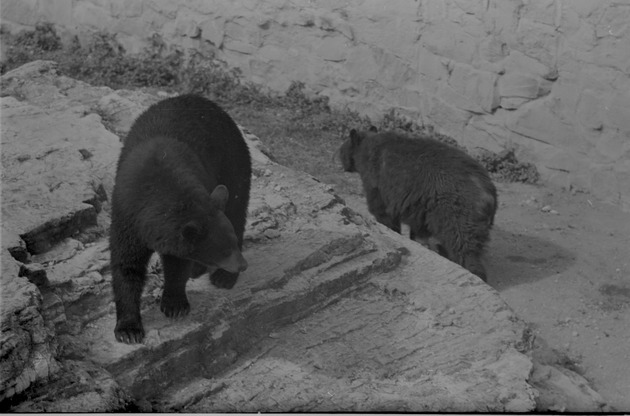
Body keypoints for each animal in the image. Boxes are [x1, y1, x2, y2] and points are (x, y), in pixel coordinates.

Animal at [111, 95, 252, 344]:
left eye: (232, 245)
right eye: (224, 250)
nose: (242, 265)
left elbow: (177, 263)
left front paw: (174, 305)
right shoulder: (125, 216)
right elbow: (126, 264)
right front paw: (129, 330)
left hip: (233, 158)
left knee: (236, 206)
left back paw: (223, 277)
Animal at [340, 128, 498, 282]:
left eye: (341, 148)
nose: (341, 162)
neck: (366, 148)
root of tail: (489, 194)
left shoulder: (378, 181)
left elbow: (383, 211)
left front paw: (392, 230)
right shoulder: (421, 205)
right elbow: (419, 227)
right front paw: (418, 241)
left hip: (456, 210)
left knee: (462, 245)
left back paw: (472, 270)